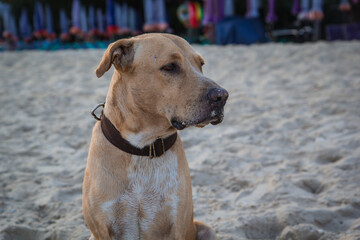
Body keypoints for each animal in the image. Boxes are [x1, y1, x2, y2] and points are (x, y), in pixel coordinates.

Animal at [83, 32, 228, 239]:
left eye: (201, 64)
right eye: (170, 67)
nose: (222, 96)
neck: (143, 147)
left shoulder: (179, 225)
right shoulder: (101, 229)